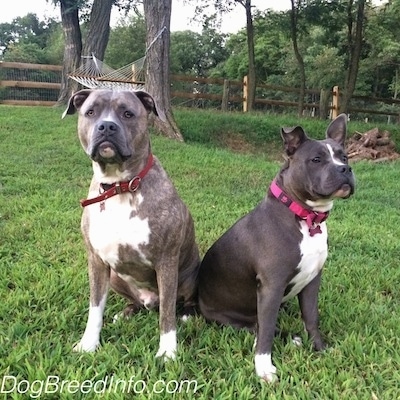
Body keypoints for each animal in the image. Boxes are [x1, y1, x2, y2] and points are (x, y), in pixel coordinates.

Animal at [62, 90, 200, 360]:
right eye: (90, 112)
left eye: (128, 114)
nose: (106, 126)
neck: (119, 186)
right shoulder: (96, 261)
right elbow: (95, 308)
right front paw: (88, 344)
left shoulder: (166, 261)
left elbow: (167, 313)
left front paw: (167, 352)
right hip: (116, 277)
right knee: (136, 302)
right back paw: (126, 313)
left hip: (190, 275)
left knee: (176, 303)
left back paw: (186, 314)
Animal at [197, 114, 354, 382]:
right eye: (316, 159)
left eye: (344, 157)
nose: (345, 169)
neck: (306, 218)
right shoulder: (272, 286)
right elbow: (267, 329)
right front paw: (263, 368)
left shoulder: (312, 280)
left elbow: (312, 318)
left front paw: (320, 348)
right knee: (259, 326)